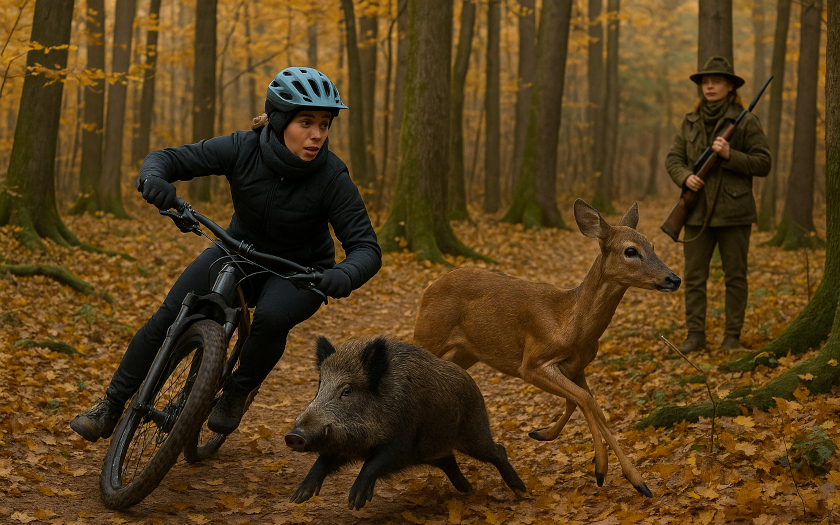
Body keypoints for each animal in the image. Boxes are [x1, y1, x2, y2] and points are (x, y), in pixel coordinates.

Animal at [413, 199, 681, 498]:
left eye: (653, 246)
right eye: (631, 251)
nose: (673, 279)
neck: (569, 324)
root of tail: (428, 288)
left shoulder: (577, 368)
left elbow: (587, 404)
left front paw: (636, 480)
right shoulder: (532, 362)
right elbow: (586, 401)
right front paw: (601, 467)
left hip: (466, 351)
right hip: (428, 335)